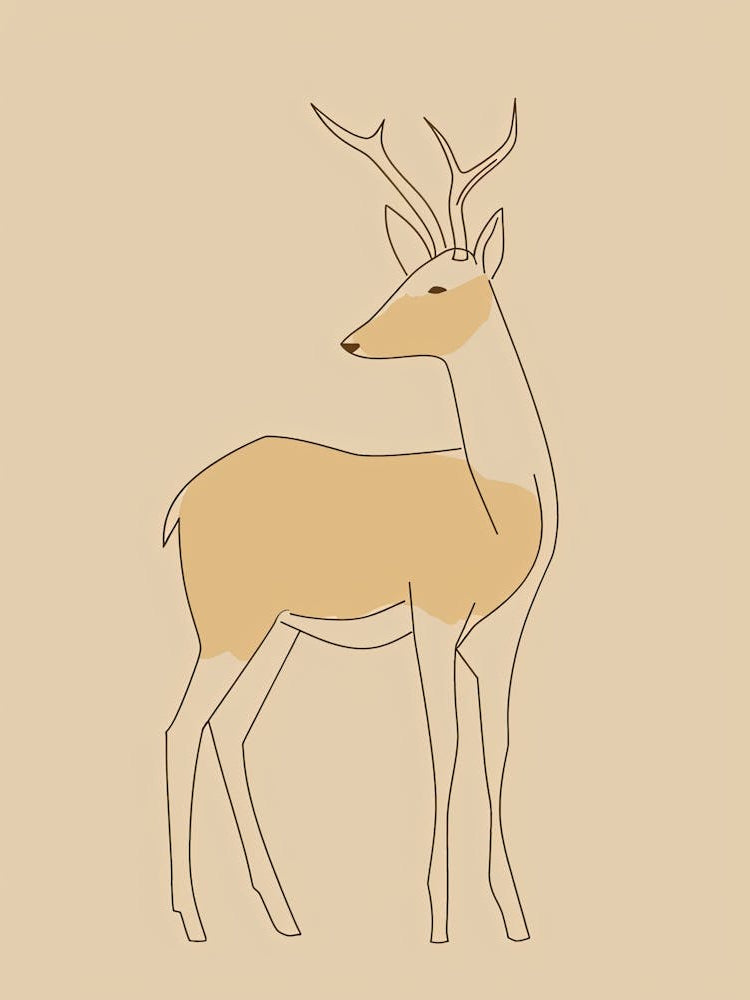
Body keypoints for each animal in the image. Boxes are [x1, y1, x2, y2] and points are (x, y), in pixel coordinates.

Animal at [163, 100, 558, 945]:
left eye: (437, 283)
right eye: (405, 275)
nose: (352, 339)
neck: (499, 500)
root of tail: (182, 500)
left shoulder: (502, 636)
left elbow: (496, 750)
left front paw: (513, 919)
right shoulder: (435, 621)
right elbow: (445, 748)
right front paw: (440, 922)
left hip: (276, 635)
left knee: (227, 731)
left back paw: (285, 918)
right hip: (228, 628)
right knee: (182, 730)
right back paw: (195, 920)